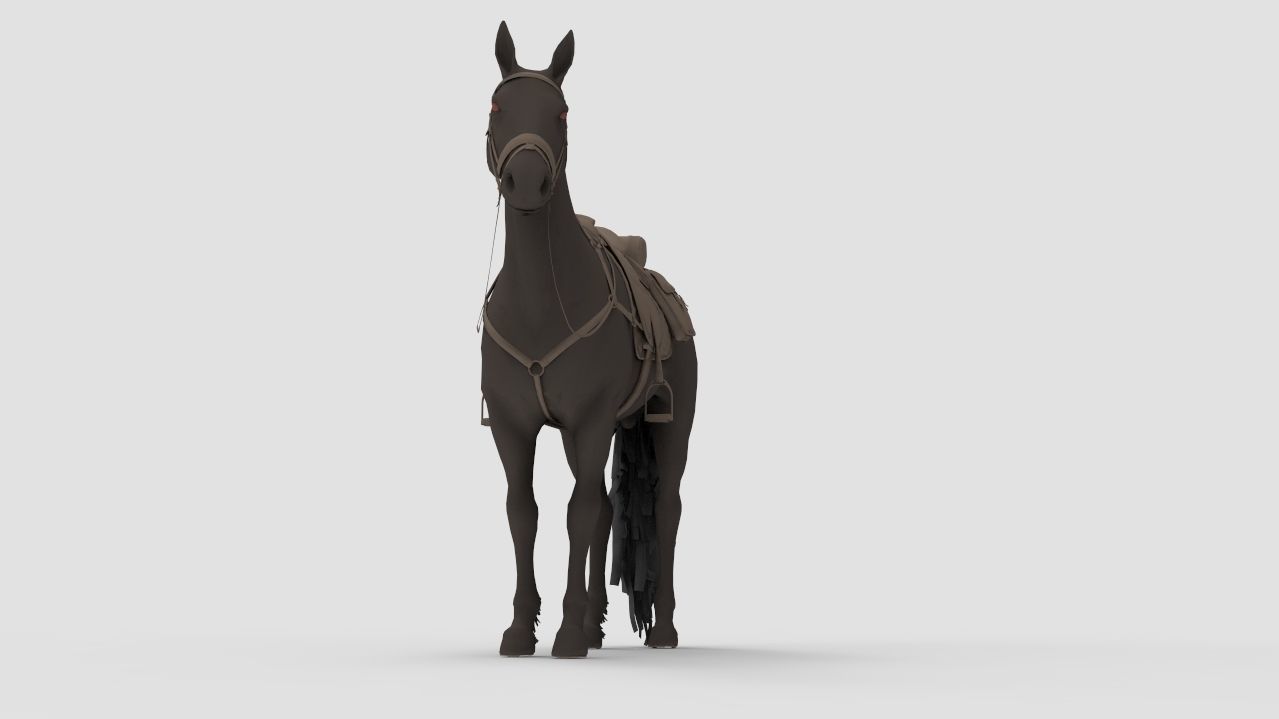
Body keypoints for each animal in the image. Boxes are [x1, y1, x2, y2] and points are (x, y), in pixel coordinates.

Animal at [477, 21, 698, 658]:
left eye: (562, 112)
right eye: (498, 107)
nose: (527, 181)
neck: (541, 306)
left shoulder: (592, 419)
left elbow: (578, 512)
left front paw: (568, 634)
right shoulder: (511, 425)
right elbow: (523, 512)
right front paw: (521, 629)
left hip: (666, 427)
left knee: (665, 508)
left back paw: (663, 631)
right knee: (602, 507)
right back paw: (599, 624)